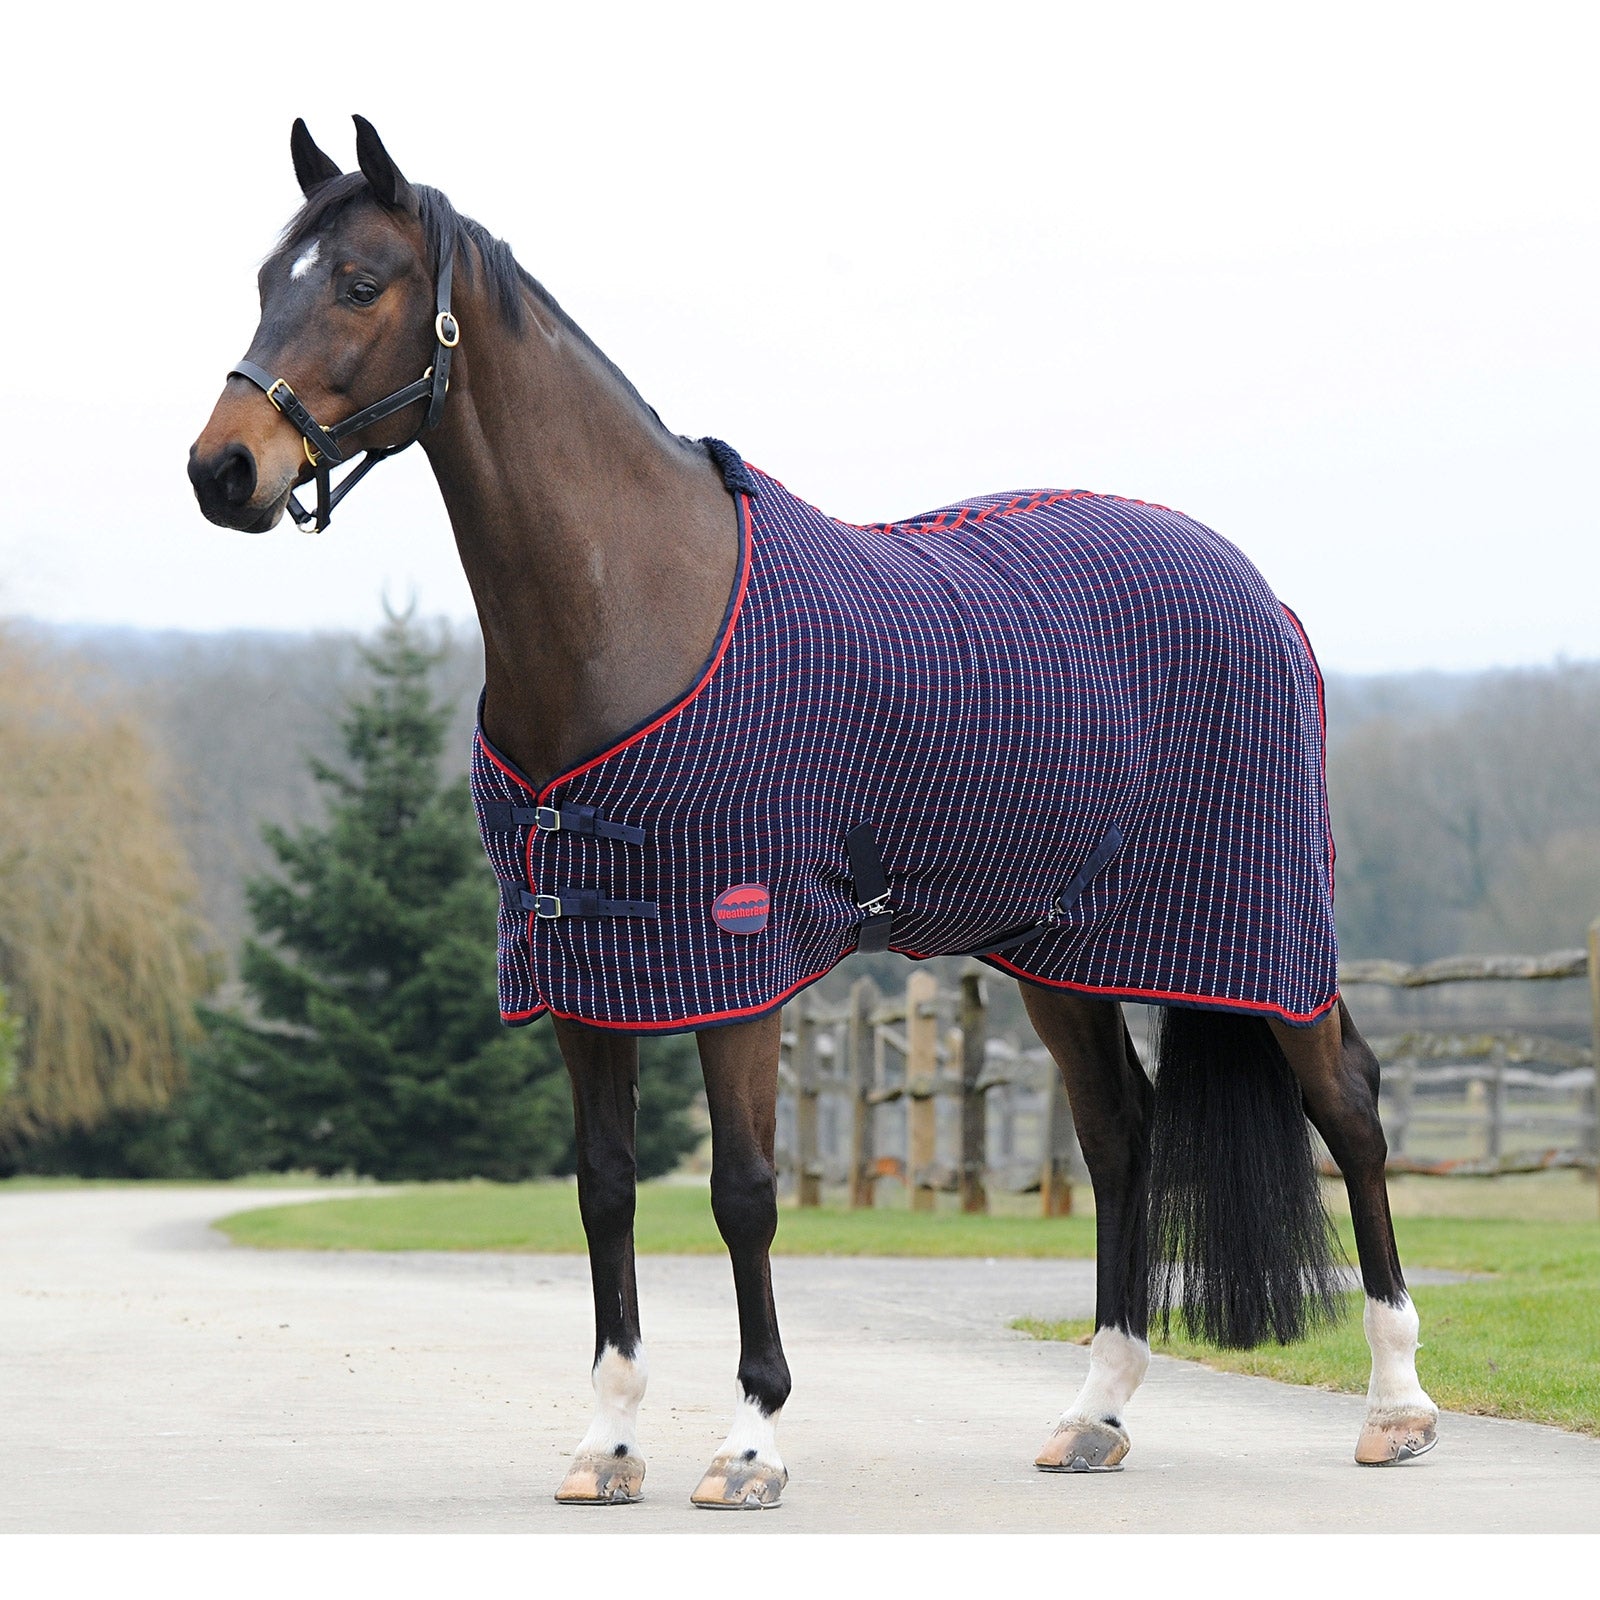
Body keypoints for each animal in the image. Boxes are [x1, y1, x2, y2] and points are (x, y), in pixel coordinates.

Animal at [188, 116, 1439, 1508]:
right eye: (267, 280)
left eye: (360, 283)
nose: (223, 469)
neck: (635, 604)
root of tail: (1259, 592)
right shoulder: (582, 964)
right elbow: (605, 1190)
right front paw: (607, 1440)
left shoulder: (740, 956)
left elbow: (743, 1190)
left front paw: (748, 1441)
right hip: (1062, 951)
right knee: (1119, 1133)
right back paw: (1096, 1411)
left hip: (1263, 926)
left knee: (1350, 1105)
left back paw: (1395, 1405)